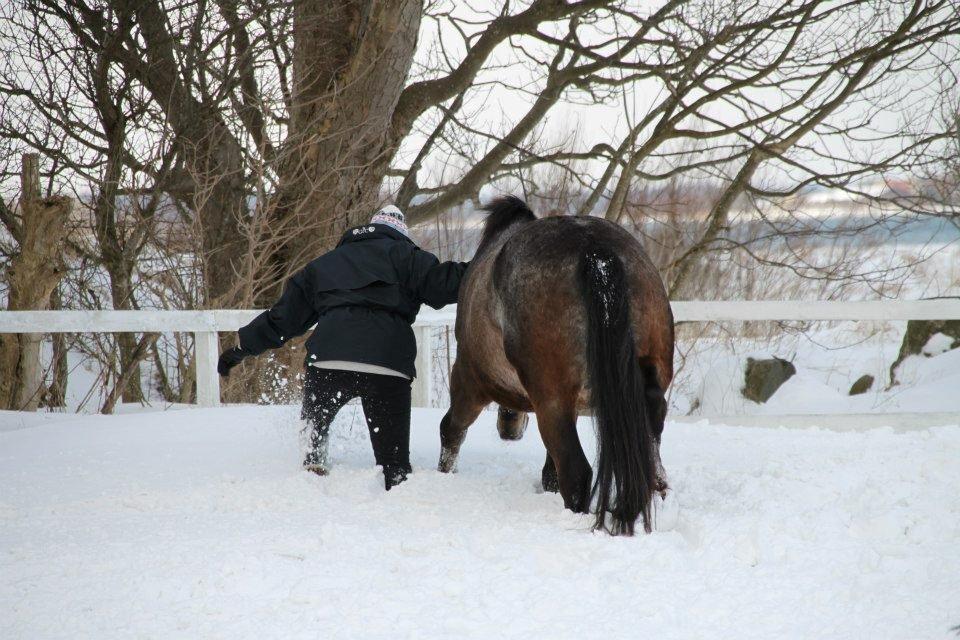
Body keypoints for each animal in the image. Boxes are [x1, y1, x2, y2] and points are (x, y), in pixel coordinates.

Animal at [436, 196, 676, 536]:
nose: (509, 428)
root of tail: (595, 250)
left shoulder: (471, 382)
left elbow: (451, 430)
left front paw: (444, 473)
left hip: (549, 401)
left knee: (577, 474)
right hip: (644, 390)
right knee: (653, 466)